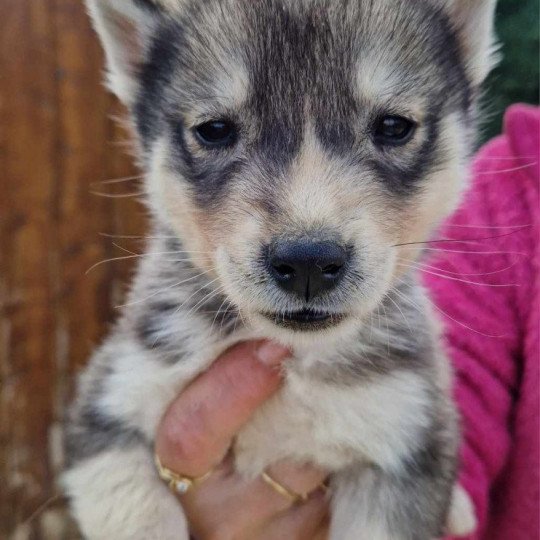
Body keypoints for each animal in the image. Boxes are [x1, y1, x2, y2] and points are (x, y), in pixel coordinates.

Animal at [64, 2, 498, 536]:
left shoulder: (404, 437)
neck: (295, 361)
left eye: (394, 126)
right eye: (215, 129)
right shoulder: (110, 402)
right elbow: (138, 510)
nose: (307, 259)